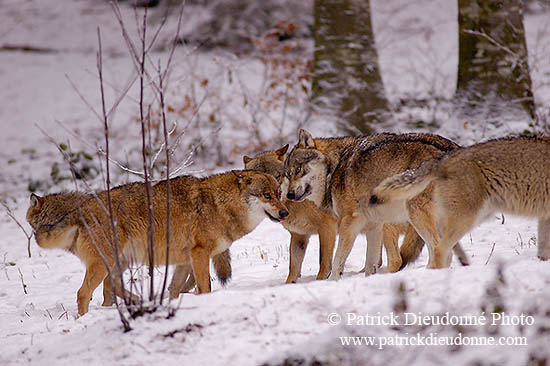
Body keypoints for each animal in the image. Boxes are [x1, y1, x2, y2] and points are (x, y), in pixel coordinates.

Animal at [25, 169, 288, 314]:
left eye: (279, 194)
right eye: (266, 195)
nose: (285, 212)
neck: (218, 205)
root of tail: (82, 207)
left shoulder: (185, 262)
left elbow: (175, 290)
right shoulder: (200, 255)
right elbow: (205, 287)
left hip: (118, 263)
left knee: (111, 288)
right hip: (105, 262)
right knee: (83, 292)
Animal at [244, 144, 430, 280]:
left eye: (277, 177)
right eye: (258, 183)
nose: (272, 195)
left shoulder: (328, 228)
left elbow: (324, 262)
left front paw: (322, 280)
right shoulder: (299, 237)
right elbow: (293, 269)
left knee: (395, 258)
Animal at [284, 128, 470, 278]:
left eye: (298, 170)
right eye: (287, 175)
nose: (289, 194)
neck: (335, 167)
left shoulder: (349, 222)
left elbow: (337, 262)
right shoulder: (373, 225)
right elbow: (370, 264)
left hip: (410, 215)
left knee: (423, 254)